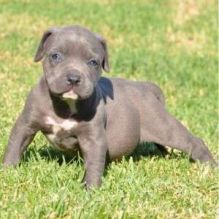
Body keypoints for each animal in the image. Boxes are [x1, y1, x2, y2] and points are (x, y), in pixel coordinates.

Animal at [2, 25, 216, 186]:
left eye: (93, 62)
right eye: (55, 56)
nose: (73, 78)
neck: (65, 105)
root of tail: (146, 87)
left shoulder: (94, 138)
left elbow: (94, 163)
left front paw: (90, 189)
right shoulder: (25, 125)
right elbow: (15, 146)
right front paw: (8, 171)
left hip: (165, 126)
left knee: (194, 142)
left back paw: (210, 167)